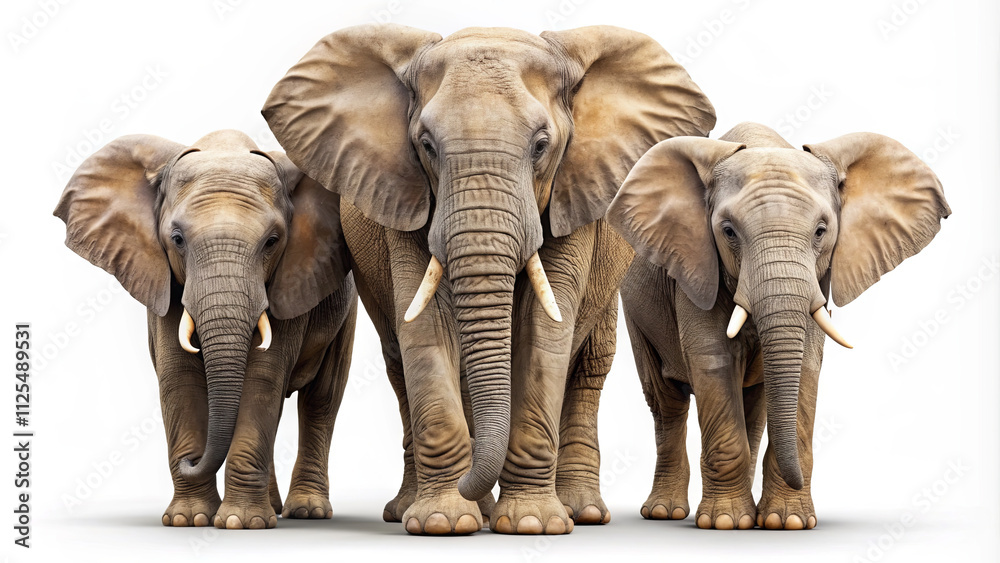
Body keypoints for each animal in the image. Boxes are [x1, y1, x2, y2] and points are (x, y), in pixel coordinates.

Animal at [54, 130, 358, 529]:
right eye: (177, 239)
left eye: (272, 241)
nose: (191, 460)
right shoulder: (164, 280)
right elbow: (179, 376)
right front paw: (191, 519)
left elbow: (262, 379)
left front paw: (242, 524)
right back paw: (275, 507)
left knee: (321, 399)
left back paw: (307, 512)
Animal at [262, 24, 716, 534]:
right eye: (426, 145)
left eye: (541, 145)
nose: (471, 489)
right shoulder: (407, 197)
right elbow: (427, 327)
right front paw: (444, 522)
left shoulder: (572, 193)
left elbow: (545, 328)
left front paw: (532, 524)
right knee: (400, 362)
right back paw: (424, 510)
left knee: (587, 365)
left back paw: (580, 512)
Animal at [606, 122, 950, 529]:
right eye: (728, 231)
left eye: (821, 231)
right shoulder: (697, 266)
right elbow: (713, 361)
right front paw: (725, 523)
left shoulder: (819, 282)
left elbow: (805, 369)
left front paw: (787, 522)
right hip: (635, 311)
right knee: (667, 404)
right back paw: (665, 513)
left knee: (753, 409)